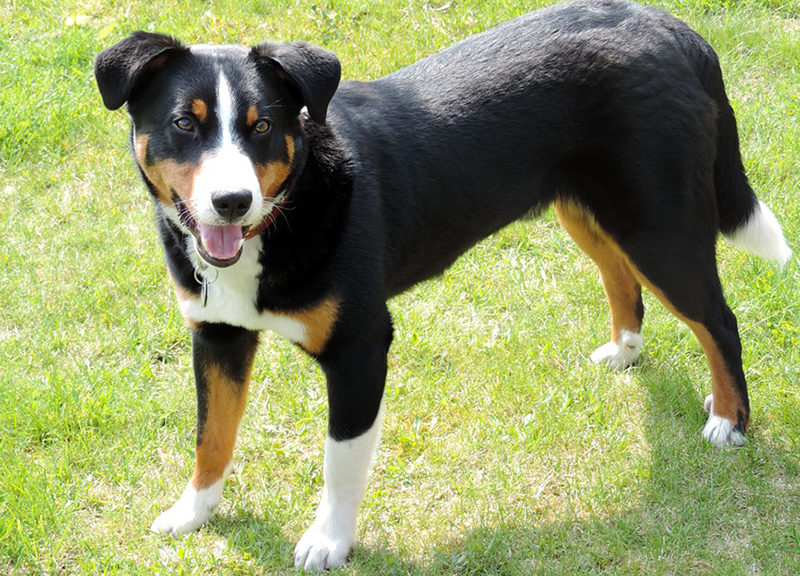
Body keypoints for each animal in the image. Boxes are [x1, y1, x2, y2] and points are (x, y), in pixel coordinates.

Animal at [97, 0, 792, 568]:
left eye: (261, 126)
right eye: (186, 125)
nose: (232, 201)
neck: (287, 210)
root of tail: (674, 29)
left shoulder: (359, 349)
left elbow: (340, 461)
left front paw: (328, 541)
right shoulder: (217, 336)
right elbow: (210, 437)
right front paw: (193, 513)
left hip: (659, 226)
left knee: (718, 321)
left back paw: (729, 420)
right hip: (589, 208)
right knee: (621, 278)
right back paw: (624, 350)